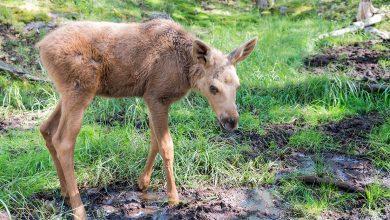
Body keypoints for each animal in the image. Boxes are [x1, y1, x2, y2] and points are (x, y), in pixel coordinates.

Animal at [38, 18, 258, 218]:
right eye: (213, 87)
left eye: (237, 85)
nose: (231, 121)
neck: (186, 72)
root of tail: (41, 46)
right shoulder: (156, 96)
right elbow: (166, 146)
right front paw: (173, 198)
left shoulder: (151, 99)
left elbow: (154, 141)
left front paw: (143, 182)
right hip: (80, 89)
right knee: (64, 141)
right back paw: (79, 209)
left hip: (68, 93)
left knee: (46, 128)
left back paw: (65, 192)